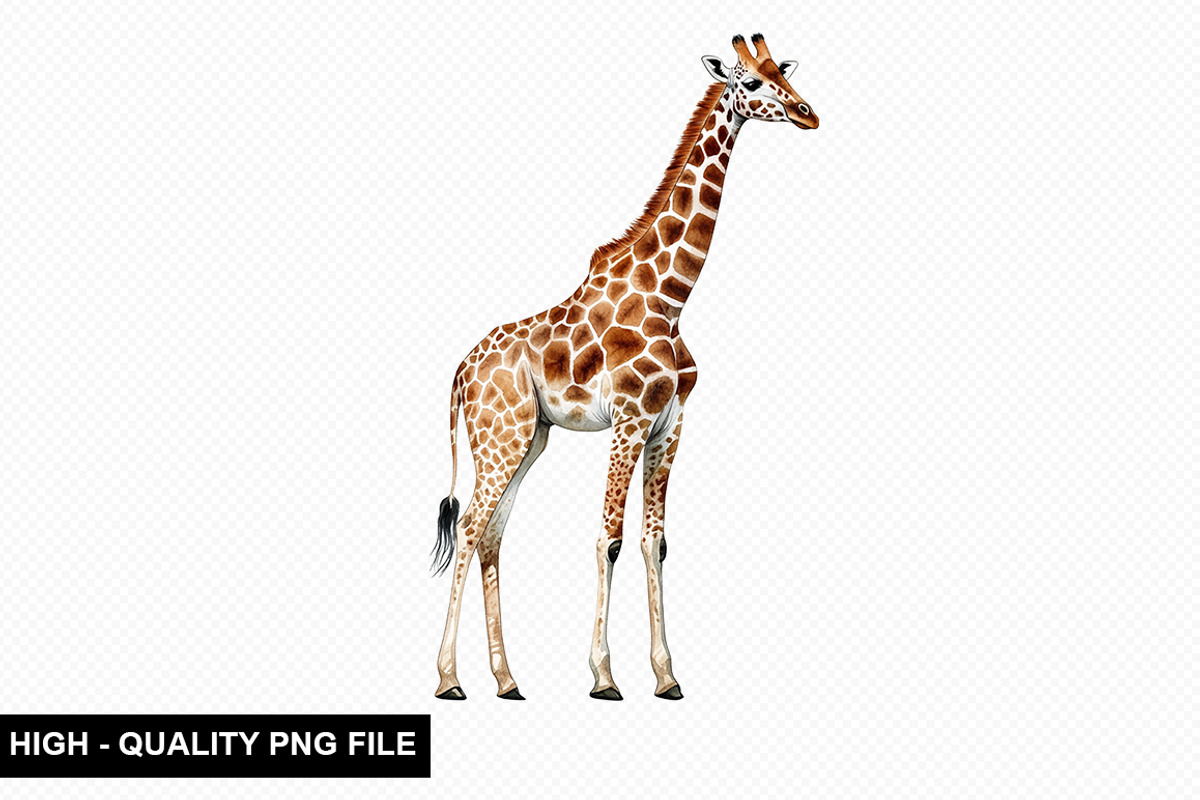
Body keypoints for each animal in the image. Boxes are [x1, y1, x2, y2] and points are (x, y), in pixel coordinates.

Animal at [431, 34, 818, 701]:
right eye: (750, 82)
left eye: (781, 72)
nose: (806, 113)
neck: (670, 295)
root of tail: (460, 372)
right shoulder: (630, 420)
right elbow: (608, 539)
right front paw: (604, 676)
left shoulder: (670, 424)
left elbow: (654, 541)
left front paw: (666, 677)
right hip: (501, 438)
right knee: (470, 531)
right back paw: (450, 680)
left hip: (527, 439)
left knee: (491, 534)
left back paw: (506, 681)